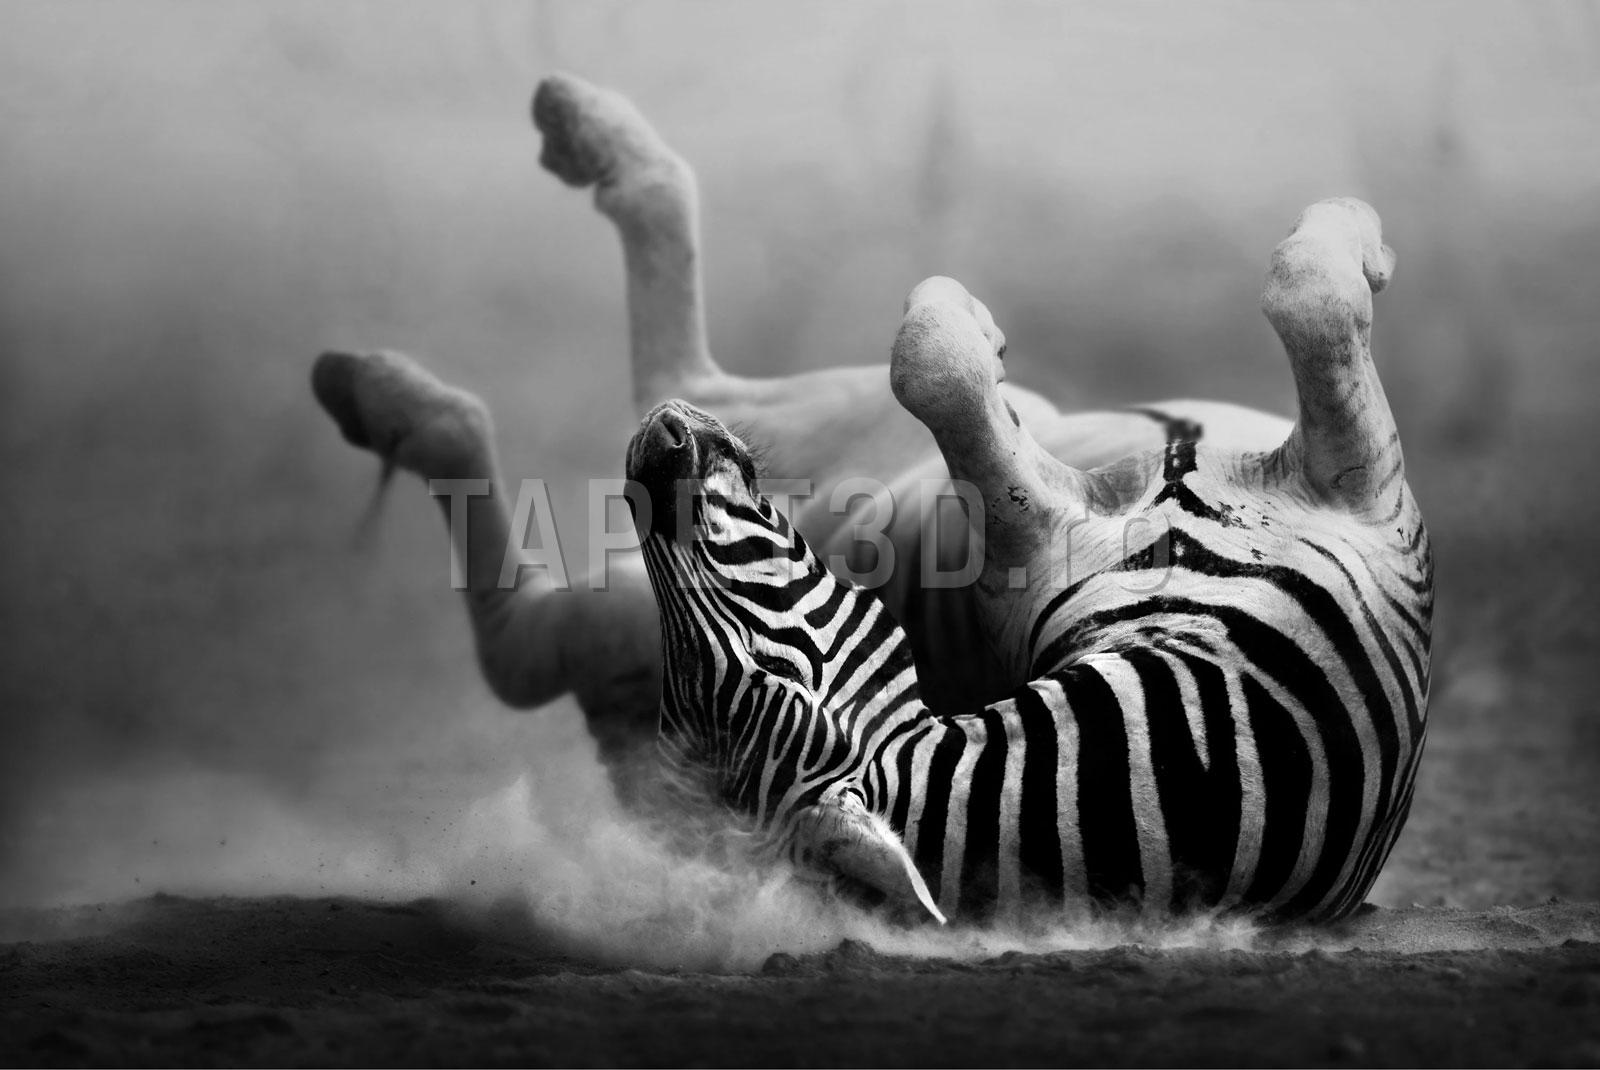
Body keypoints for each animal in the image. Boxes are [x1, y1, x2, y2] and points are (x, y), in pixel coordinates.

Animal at [625, 200, 1432, 925]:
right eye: (774, 662)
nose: (655, 443)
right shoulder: (1361, 495)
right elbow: (1313, 295)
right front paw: (1364, 237)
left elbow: (930, 372)